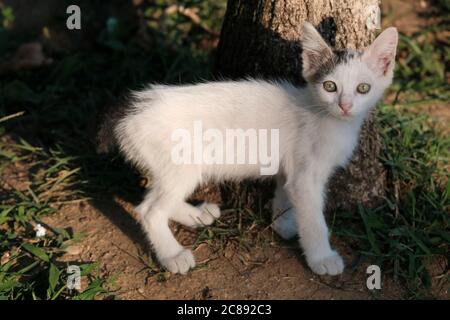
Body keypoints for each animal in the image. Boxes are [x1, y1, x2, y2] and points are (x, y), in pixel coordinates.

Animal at [98, 23, 398, 276]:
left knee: (152, 199)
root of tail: (132, 110)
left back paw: (195, 214)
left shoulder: (291, 166)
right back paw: (173, 255)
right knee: (149, 211)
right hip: (181, 164)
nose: (345, 106)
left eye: (363, 88)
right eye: (330, 86)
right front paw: (321, 257)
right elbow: (314, 218)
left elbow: (285, 193)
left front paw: (284, 223)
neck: (325, 116)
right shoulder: (306, 176)